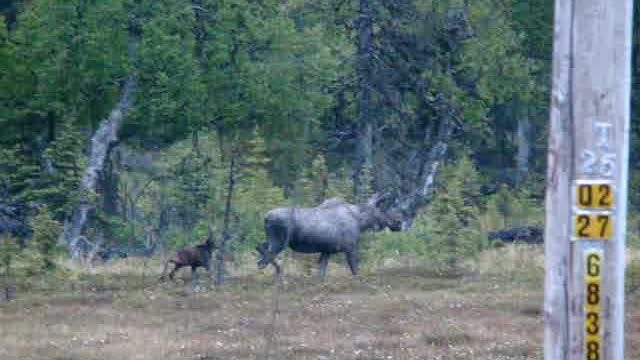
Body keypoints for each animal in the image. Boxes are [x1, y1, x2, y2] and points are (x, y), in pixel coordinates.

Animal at [256, 195, 400, 278]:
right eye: (384, 209)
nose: (398, 222)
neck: (361, 222)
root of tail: (265, 218)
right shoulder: (350, 247)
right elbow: (355, 269)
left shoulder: (326, 251)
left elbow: (322, 271)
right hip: (279, 241)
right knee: (263, 258)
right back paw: (277, 271)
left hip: (272, 239)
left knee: (259, 247)